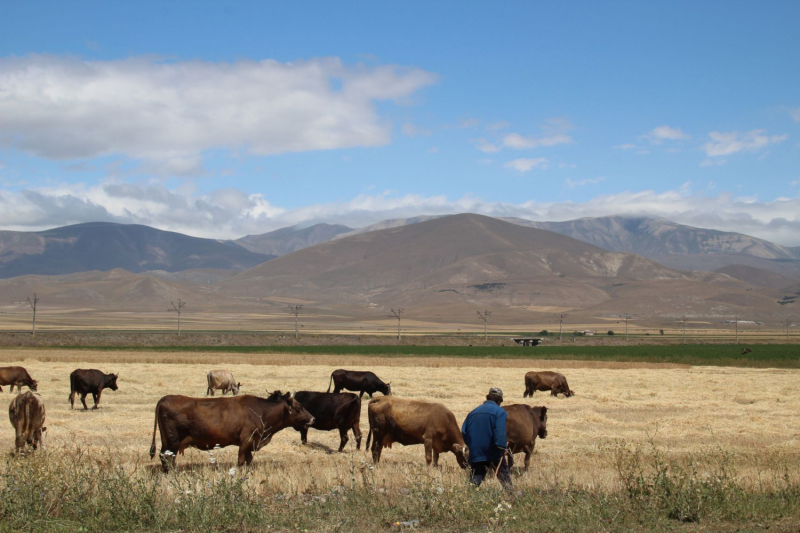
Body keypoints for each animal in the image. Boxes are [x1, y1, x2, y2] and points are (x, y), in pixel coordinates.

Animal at [150, 388, 312, 472]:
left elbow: (249, 460)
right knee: (167, 457)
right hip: (172, 440)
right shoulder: (246, 440)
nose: (312, 418)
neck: (261, 411)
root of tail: (164, 399)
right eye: (299, 407)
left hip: (167, 440)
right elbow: (241, 460)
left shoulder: (250, 443)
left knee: (164, 457)